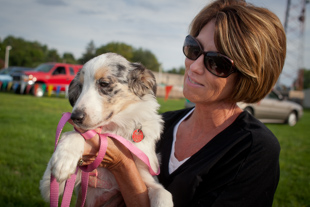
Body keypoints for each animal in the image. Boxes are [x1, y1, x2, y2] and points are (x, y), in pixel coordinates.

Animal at [39, 53, 173, 207]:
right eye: (80, 86)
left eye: (104, 83)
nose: (75, 117)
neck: (112, 129)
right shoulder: (51, 186)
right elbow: (75, 134)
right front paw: (63, 160)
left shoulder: (146, 177)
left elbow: (163, 193)